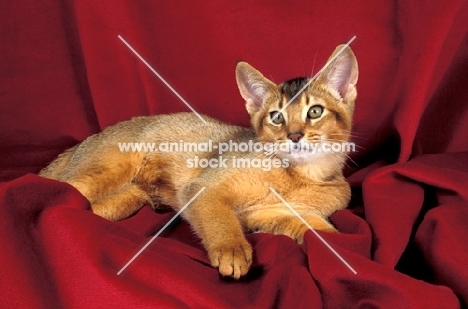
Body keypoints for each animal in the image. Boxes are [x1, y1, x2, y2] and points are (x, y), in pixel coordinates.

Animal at [42, 44, 360, 278]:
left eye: (315, 111)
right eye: (276, 117)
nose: (294, 136)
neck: (300, 176)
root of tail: (87, 139)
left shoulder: (268, 214)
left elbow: (316, 228)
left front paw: (341, 248)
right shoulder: (203, 189)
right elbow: (220, 219)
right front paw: (231, 251)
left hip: (123, 200)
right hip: (102, 172)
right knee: (55, 188)